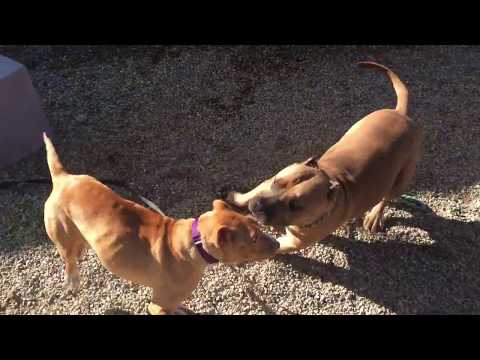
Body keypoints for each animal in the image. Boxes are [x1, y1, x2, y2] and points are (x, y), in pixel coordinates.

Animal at [43, 134, 280, 314]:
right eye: (253, 239)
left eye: (256, 224)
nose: (278, 244)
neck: (193, 242)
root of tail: (63, 177)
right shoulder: (158, 305)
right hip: (60, 233)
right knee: (68, 259)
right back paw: (73, 279)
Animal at [227, 62, 422, 253]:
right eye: (277, 182)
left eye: (295, 206)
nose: (256, 206)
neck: (331, 180)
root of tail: (401, 114)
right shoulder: (268, 182)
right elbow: (252, 192)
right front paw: (236, 198)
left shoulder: (290, 243)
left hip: (401, 179)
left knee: (386, 196)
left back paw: (375, 215)